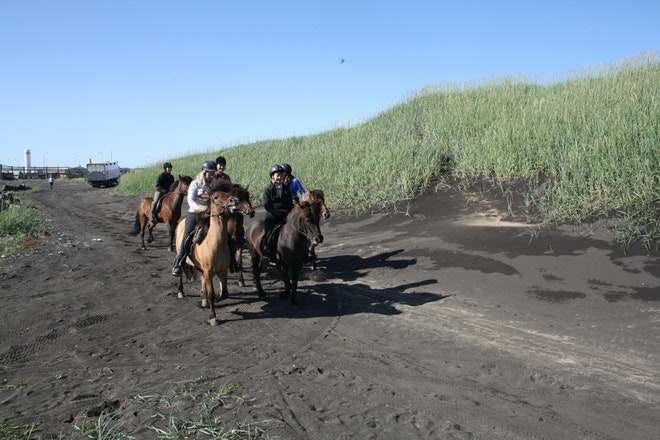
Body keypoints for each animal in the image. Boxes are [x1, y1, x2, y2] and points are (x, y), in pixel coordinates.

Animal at [174, 180, 238, 324]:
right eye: (215, 197)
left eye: (227, 194)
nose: (234, 201)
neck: (214, 243)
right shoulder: (209, 272)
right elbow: (211, 294)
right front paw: (213, 317)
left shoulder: (222, 270)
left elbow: (224, 293)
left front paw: (213, 301)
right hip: (181, 256)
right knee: (180, 271)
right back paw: (180, 291)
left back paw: (202, 300)